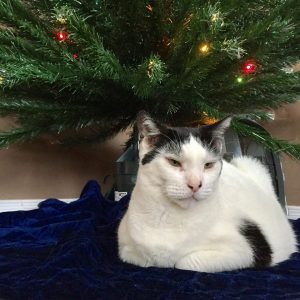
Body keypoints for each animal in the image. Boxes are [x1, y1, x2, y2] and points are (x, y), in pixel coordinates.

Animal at [116, 111, 296, 274]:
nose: (195, 184)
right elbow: (139, 258)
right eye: (174, 162)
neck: (169, 216)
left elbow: (183, 263)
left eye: (208, 165)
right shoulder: (125, 246)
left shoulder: (244, 251)